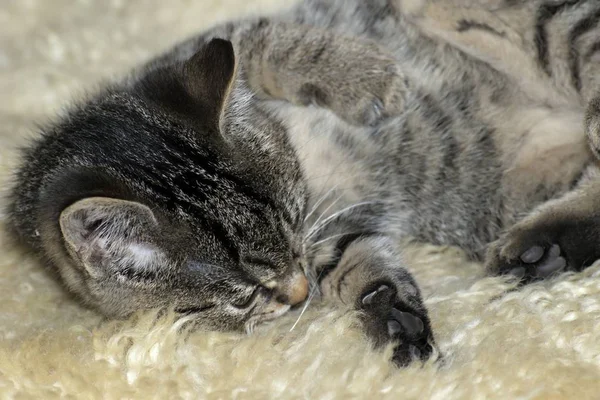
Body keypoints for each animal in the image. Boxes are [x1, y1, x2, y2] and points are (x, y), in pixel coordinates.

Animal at [7, 0, 600, 368]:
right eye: (247, 294)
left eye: (293, 217)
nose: (296, 295)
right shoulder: (333, 236)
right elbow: (359, 265)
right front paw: (392, 316)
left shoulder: (204, 51)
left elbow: (271, 39)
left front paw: (369, 77)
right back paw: (543, 249)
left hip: (544, 21)